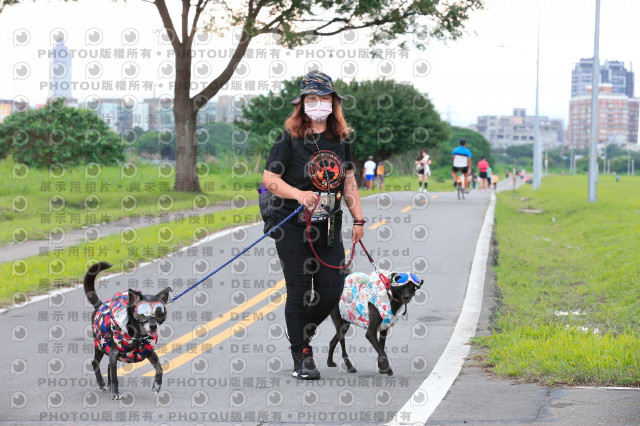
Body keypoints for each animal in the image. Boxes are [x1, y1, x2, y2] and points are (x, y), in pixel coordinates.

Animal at [83, 262, 172, 400]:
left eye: (159, 313)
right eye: (142, 314)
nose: (153, 326)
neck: (137, 336)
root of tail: (99, 305)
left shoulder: (149, 352)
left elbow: (160, 368)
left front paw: (157, 386)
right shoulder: (114, 353)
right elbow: (115, 377)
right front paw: (115, 393)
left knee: (108, 366)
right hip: (100, 346)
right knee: (95, 363)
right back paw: (102, 384)